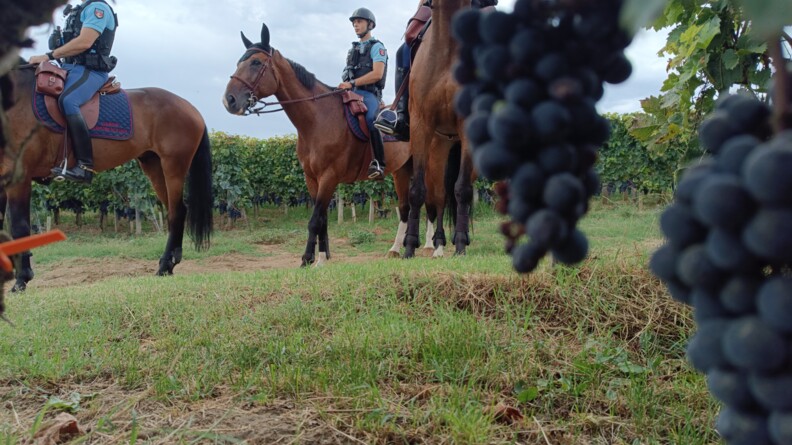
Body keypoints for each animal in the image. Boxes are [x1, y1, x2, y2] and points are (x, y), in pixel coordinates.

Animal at [0, 64, 213, 291]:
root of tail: (190, 108)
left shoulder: (20, 178)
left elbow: (19, 226)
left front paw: (22, 279)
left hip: (173, 166)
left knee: (176, 212)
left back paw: (165, 265)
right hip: (154, 166)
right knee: (176, 210)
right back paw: (169, 264)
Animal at [223, 24, 415, 267]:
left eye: (256, 62)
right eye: (239, 62)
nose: (229, 100)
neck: (318, 119)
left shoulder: (329, 177)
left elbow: (315, 220)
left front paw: (311, 259)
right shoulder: (312, 178)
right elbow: (321, 218)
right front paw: (321, 256)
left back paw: (426, 246)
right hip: (401, 170)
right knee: (406, 207)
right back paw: (397, 248)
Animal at [402, 0, 478, 259]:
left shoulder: (467, 124)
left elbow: (462, 189)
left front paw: (461, 244)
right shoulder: (420, 125)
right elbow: (417, 190)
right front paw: (409, 245)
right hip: (437, 148)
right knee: (439, 195)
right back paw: (437, 243)